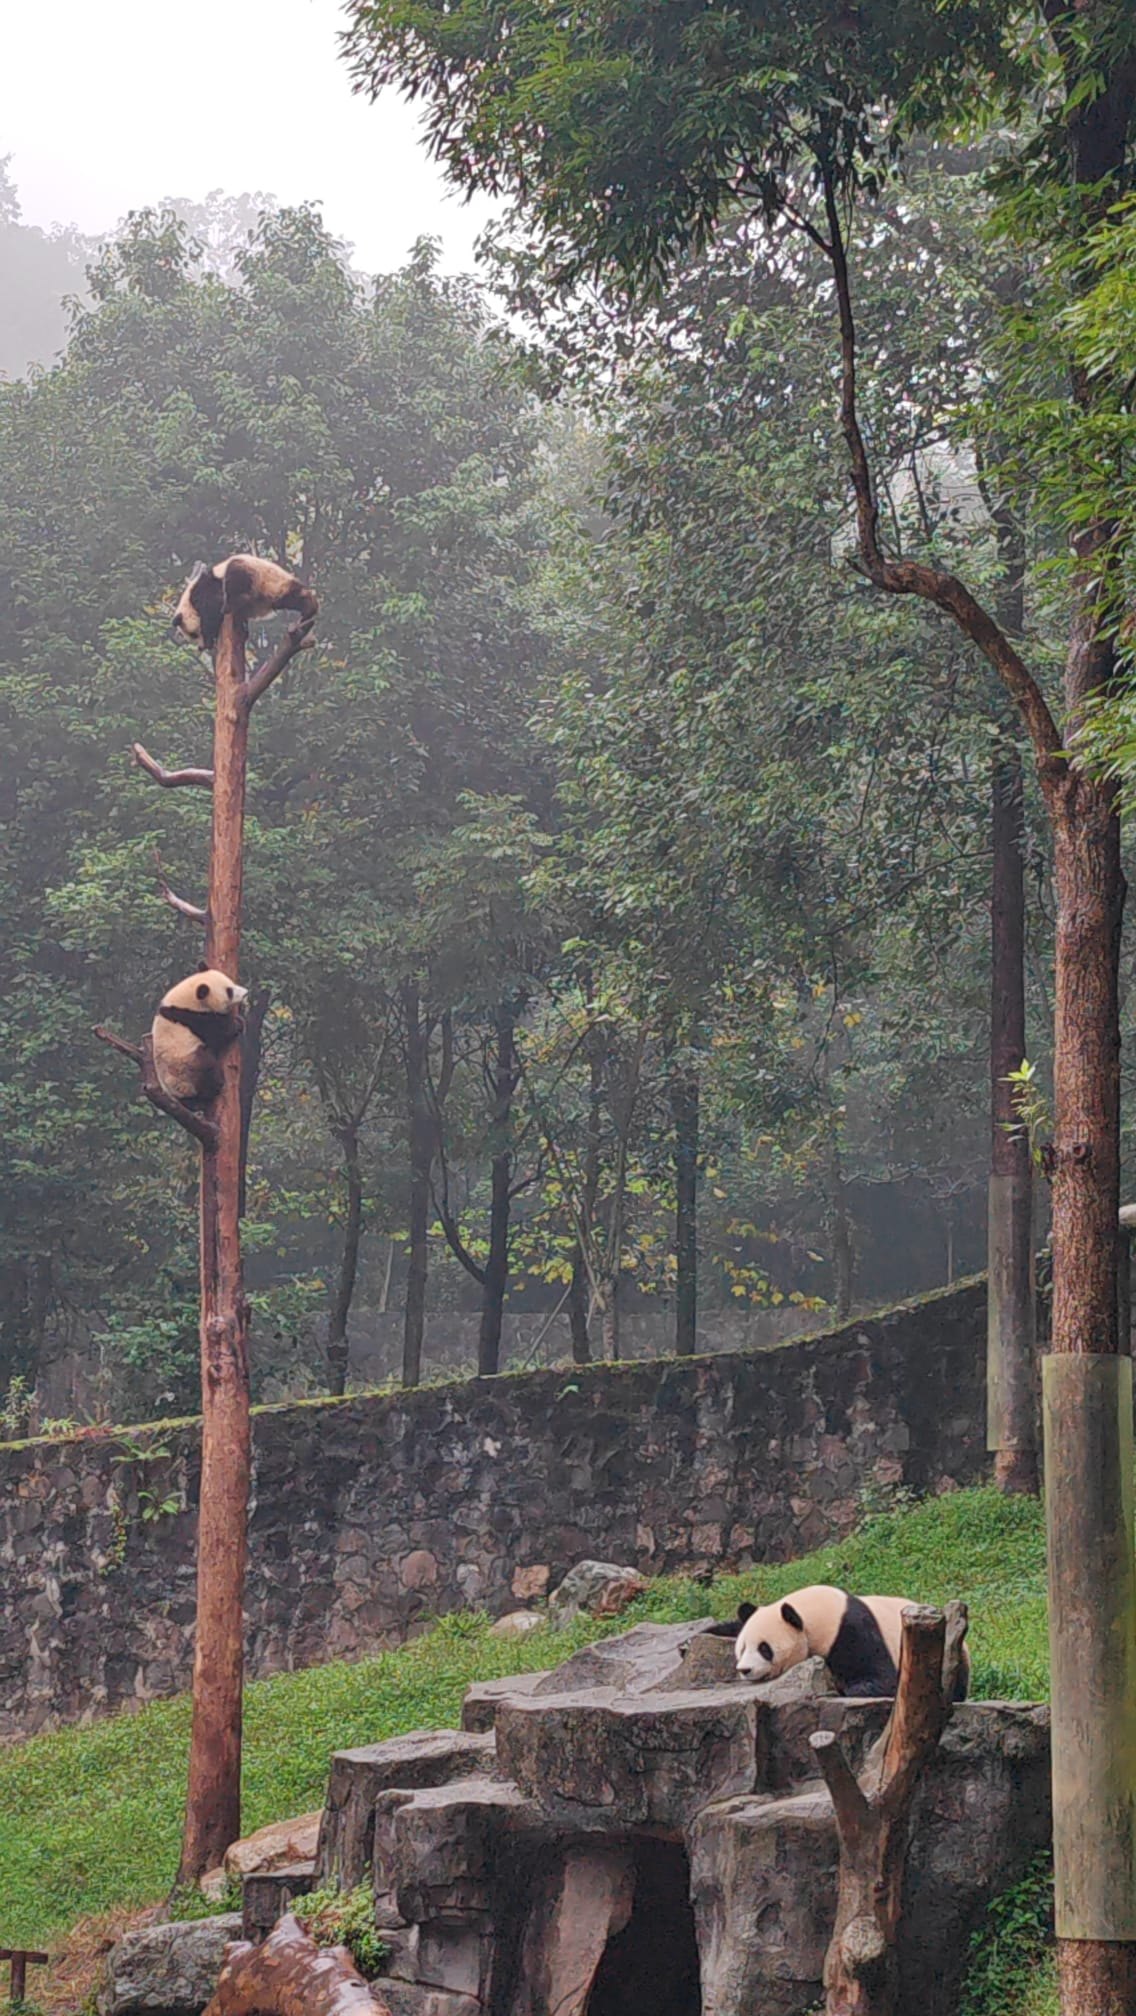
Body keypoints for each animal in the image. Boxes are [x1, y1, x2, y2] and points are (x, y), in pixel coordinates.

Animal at [151, 959, 249, 1104]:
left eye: (231, 983)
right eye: (229, 991)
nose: (245, 993)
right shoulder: (192, 1017)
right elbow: (220, 1032)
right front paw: (238, 1024)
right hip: (185, 1069)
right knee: (205, 1064)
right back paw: (215, 1086)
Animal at [706, 1588, 972, 1701]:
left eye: (764, 1648)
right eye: (742, 1649)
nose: (745, 1670)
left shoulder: (849, 1630)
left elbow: (881, 1675)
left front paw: (843, 1689)